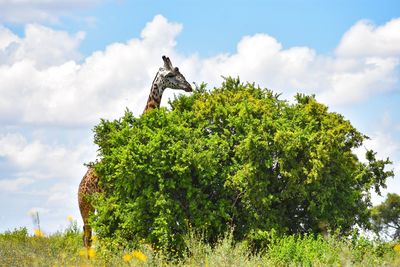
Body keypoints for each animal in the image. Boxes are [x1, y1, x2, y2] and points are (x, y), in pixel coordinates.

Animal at [77, 55, 193, 250]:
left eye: (180, 71)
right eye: (171, 74)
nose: (189, 86)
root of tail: (80, 184)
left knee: (90, 235)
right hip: (85, 205)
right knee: (87, 236)